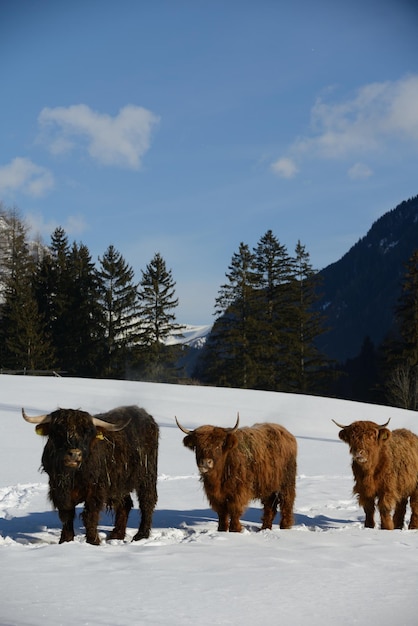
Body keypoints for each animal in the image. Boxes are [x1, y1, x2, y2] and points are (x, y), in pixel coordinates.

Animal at [23, 404, 159, 540]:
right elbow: (66, 515)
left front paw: (93, 541)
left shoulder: (95, 490)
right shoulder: (59, 489)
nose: (75, 454)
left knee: (147, 502)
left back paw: (141, 535)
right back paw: (116, 535)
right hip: (119, 483)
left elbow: (90, 516)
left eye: (87, 433)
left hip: (147, 475)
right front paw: (65, 541)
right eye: (59, 431)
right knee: (125, 504)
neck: (72, 475)